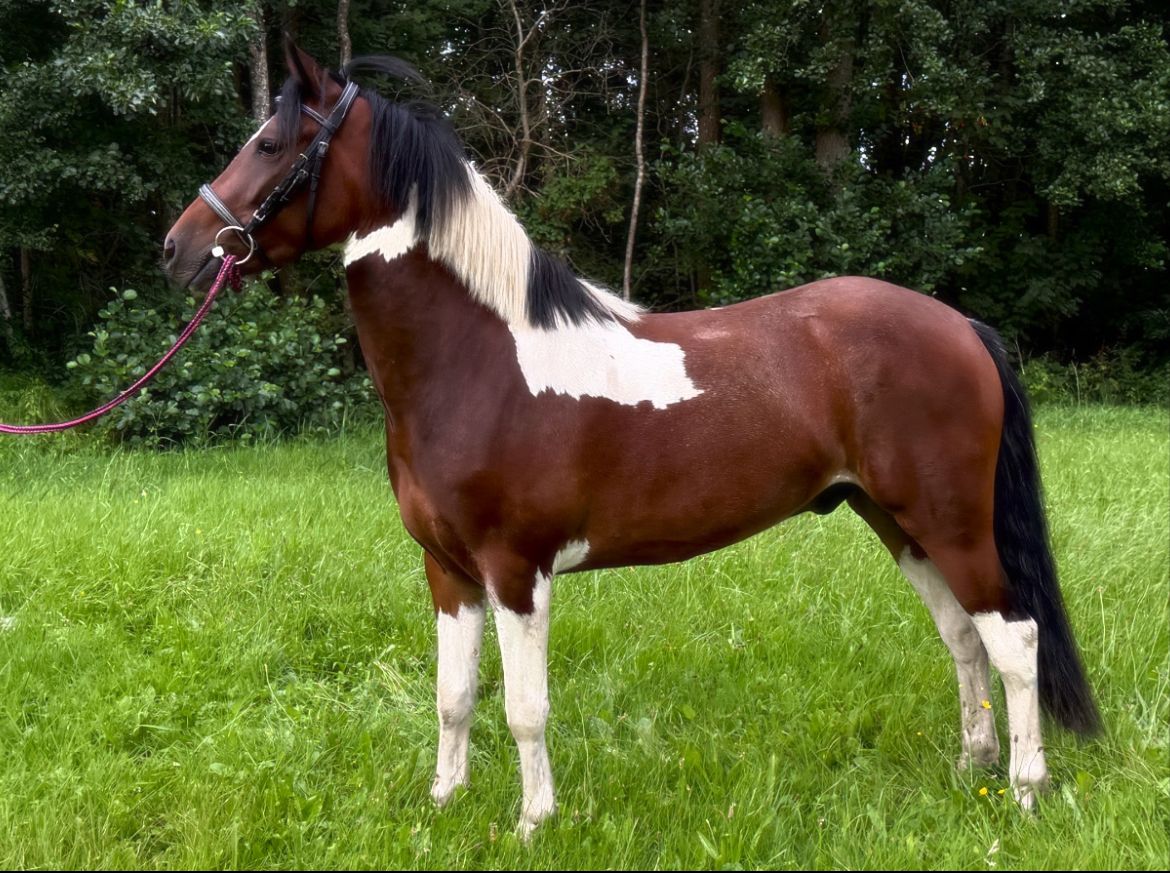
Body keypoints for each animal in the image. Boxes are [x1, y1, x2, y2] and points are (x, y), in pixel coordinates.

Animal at [163, 43, 1100, 838]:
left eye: (271, 143)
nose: (178, 248)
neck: (480, 360)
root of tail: (961, 326)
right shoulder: (448, 571)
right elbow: (454, 695)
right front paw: (443, 801)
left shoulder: (516, 569)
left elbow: (525, 708)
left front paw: (533, 822)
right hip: (897, 522)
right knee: (964, 635)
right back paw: (973, 767)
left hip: (949, 522)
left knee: (1015, 638)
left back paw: (1024, 791)